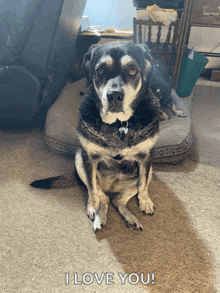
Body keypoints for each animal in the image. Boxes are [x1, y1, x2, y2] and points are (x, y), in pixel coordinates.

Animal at [31, 41, 168, 232]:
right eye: (100, 70)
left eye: (132, 69)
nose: (114, 95)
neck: (118, 125)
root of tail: (112, 187)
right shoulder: (89, 157)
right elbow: (93, 189)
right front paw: (93, 208)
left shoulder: (146, 157)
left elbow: (142, 185)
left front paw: (145, 202)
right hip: (79, 160)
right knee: (103, 196)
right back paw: (98, 216)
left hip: (148, 172)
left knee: (118, 199)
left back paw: (131, 219)